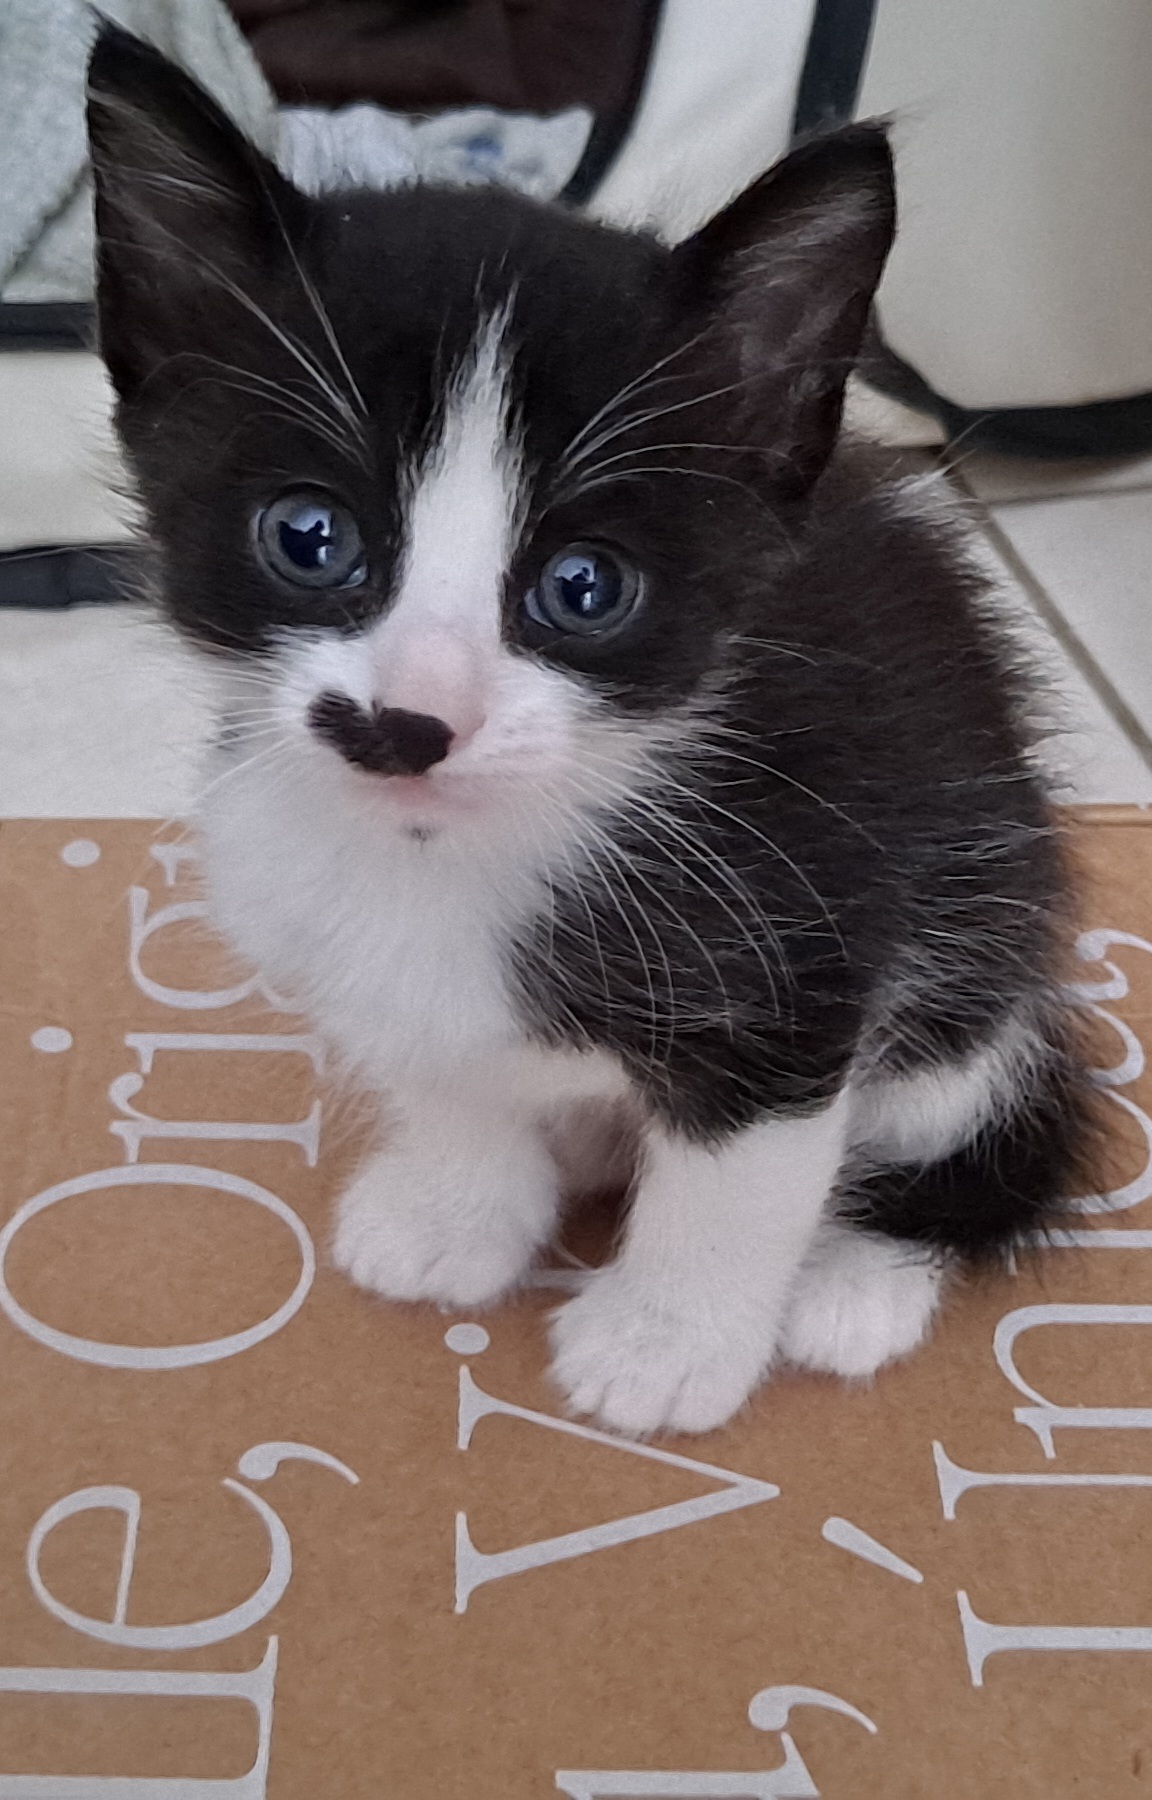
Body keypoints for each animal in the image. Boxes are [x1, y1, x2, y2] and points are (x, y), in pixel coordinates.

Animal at [87, 25, 1093, 1436]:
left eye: (583, 587)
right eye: (308, 536)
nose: (408, 722)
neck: (448, 854)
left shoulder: (807, 914)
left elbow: (740, 1173)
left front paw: (667, 1345)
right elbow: (440, 1052)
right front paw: (459, 1209)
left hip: (981, 922)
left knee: (981, 1117)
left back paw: (857, 1276)